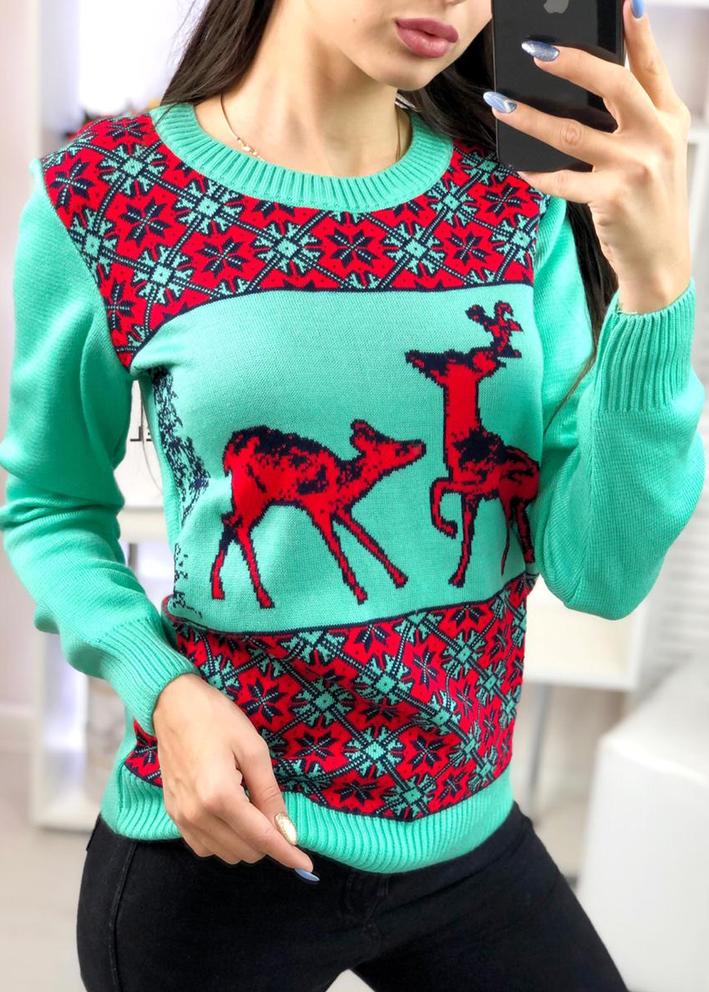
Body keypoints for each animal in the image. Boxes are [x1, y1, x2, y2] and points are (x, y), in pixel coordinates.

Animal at [210, 419, 426, 608]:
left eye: (392, 439)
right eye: (399, 449)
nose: (420, 445)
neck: (343, 483)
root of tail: (228, 454)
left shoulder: (341, 510)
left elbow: (367, 538)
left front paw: (400, 577)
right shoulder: (317, 509)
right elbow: (337, 548)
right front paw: (360, 593)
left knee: (229, 522)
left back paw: (219, 589)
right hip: (254, 494)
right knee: (239, 527)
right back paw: (263, 598)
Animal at [405, 300, 540, 587]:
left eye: (449, 359)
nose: (414, 354)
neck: (463, 442)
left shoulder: (478, 486)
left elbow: (437, 484)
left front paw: (446, 526)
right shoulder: (469, 497)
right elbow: (467, 539)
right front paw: (457, 576)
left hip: (510, 498)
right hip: (517, 504)